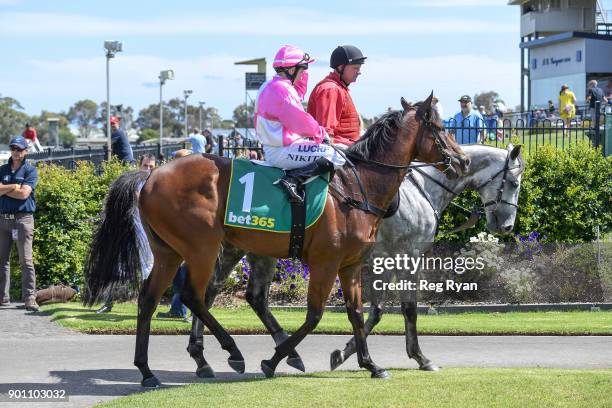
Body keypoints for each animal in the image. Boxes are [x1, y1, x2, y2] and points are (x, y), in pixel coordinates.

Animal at [83, 94, 468, 388]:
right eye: (440, 127)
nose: (462, 160)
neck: (357, 186)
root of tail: (150, 175)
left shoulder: (351, 264)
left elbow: (357, 313)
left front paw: (371, 364)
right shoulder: (328, 262)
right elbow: (315, 315)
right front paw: (274, 360)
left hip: (172, 252)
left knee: (150, 300)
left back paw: (149, 371)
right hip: (202, 248)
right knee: (194, 295)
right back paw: (233, 353)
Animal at [185, 143, 520, 376]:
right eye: (515, 184)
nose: (505, 226)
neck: (421, 190)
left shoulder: (376, 264)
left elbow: (373, 312)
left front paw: (347, 352)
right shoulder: (404, 258)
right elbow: (404, 310)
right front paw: (419, 357)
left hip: (248, 250)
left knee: (227, 295)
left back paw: (215, 355)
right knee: (215, 294)